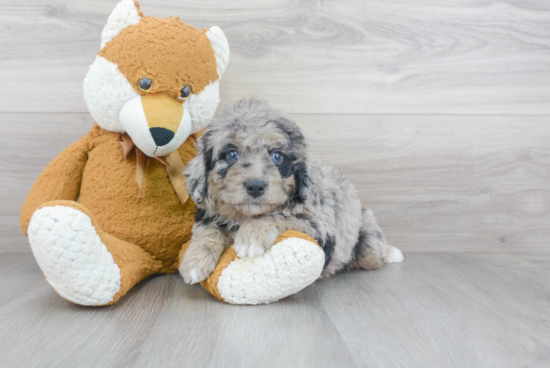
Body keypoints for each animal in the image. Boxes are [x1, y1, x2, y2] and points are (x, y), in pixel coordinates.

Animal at [179, 98, 404, 284]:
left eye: (277, 156)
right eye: (232, 154)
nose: (255, 186)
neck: (244, 216)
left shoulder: (318, 227)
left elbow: (280, 214)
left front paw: (252, 236)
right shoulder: (209, 214)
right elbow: (207, 230)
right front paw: (194, 261)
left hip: (367, 243)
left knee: (374, 255)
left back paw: (390, 253)